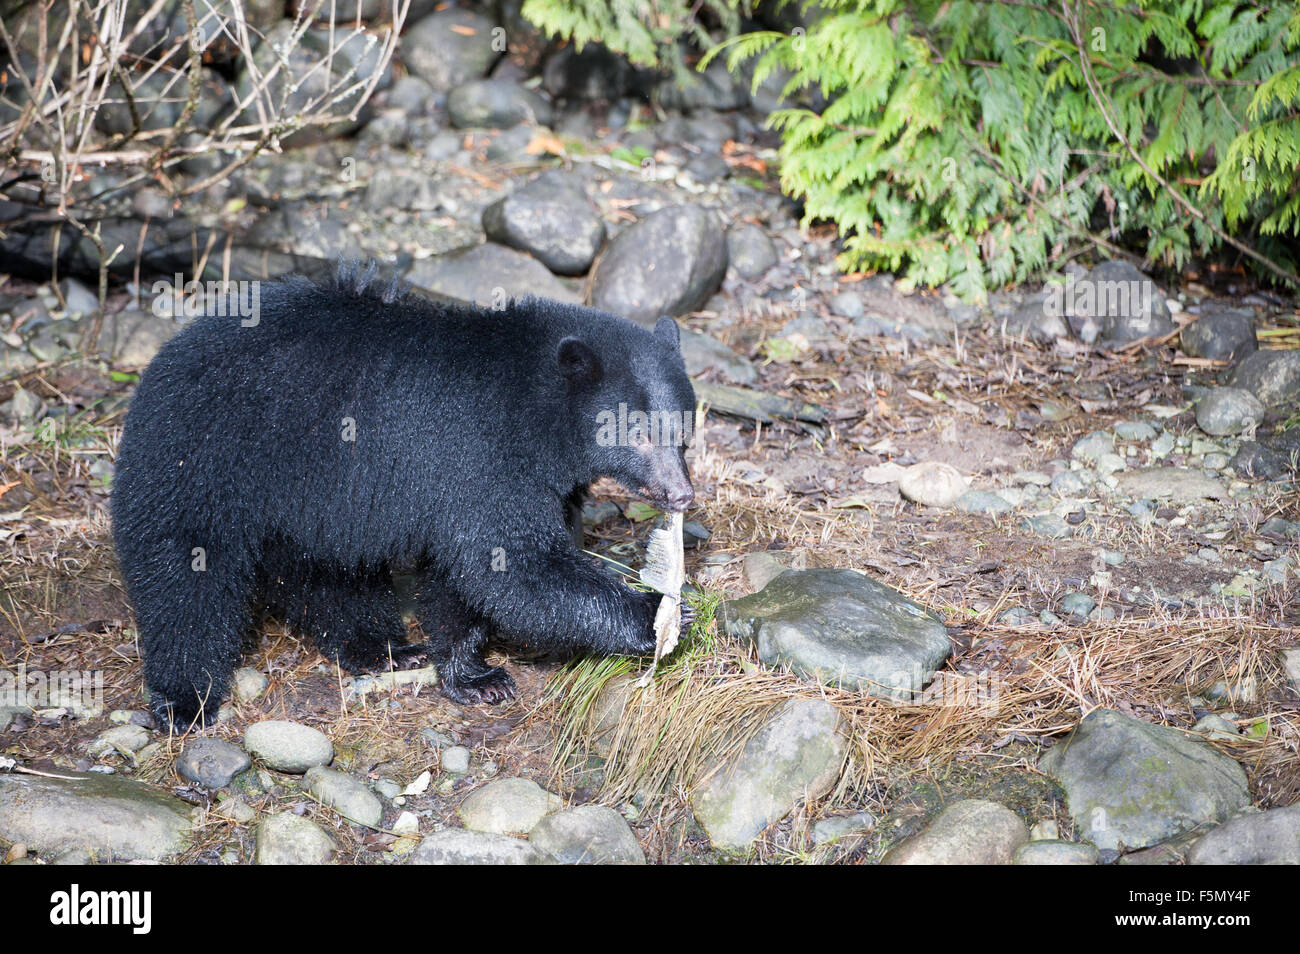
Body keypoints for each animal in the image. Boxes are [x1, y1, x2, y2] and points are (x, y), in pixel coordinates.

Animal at [111, 263, 697, 728]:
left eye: (683, 430)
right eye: (636, 433)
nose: (682, 495)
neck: (537, 411)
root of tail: (163, 360)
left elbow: (468, 577)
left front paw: (473, 676)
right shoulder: (482, 454)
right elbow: (514, 566)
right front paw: (658, 613)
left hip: (308, 502)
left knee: (326, 574)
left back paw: (383, 647)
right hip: (203, 459)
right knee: (184, 579)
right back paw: (184, 699)